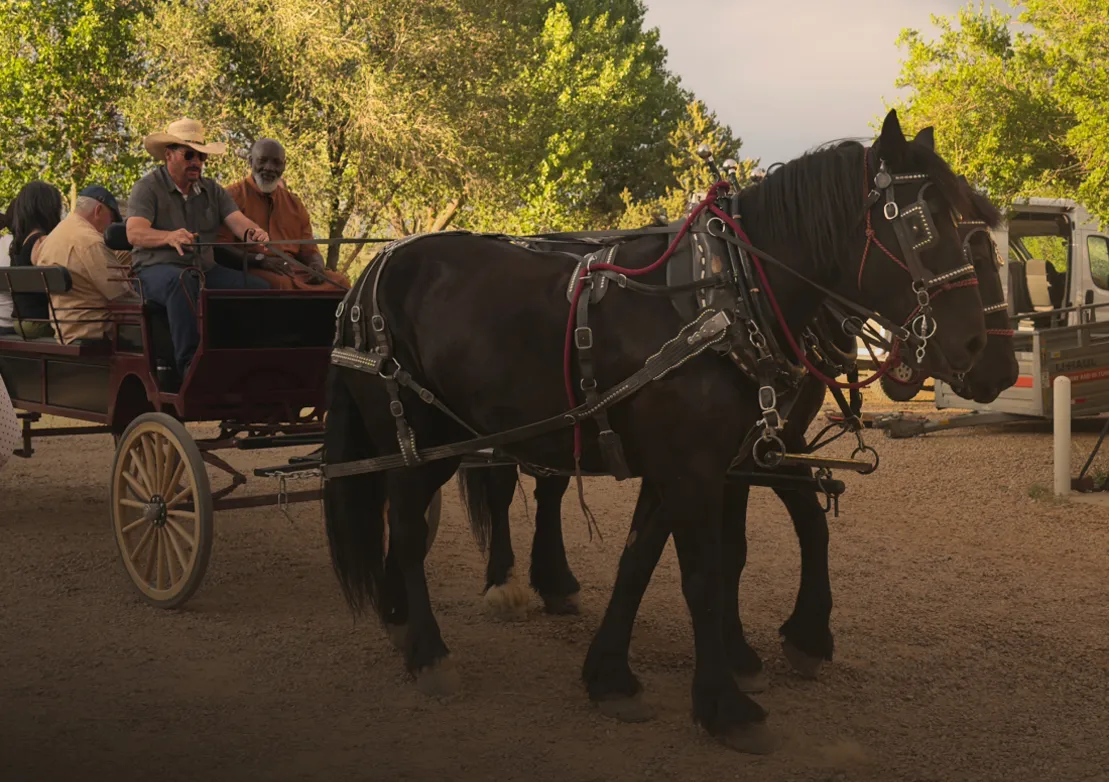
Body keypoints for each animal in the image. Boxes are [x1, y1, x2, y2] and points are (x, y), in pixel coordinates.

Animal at [322, 109, 993, 754]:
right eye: (922, 222)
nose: (976, 347)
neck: (723, 294)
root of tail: (370, 270)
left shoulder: (698, 461)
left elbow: (640, 559)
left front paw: (610, 677)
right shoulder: (693, 466)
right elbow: (701, 574)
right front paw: (726, 705)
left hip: (443, 440)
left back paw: (403, 617)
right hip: (412, 435)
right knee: (411, 528)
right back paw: (428, 651)